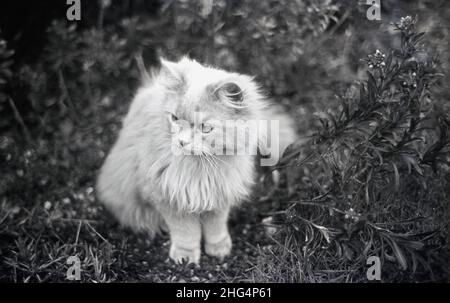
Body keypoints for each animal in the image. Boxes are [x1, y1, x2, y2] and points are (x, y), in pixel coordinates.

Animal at [96, 57, 298, 266]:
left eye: (205, 128)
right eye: (174, 118)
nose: (182, 142)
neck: (200, 167)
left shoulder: (219, 193)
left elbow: (216, 227)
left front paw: (219, 249)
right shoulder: (168, 196)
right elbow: (186, 232)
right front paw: (185, 257)